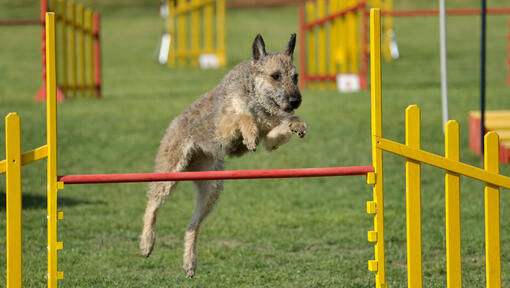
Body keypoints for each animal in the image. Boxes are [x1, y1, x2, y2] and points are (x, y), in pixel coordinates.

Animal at [139, 33, 306, 276]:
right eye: (275, 76)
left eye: (295, 77)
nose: (296, 101)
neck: (254, 94)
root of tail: (174, 123)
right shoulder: (223, 126)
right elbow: (243, 116)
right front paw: (250, 135)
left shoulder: (270, 135)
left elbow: (277, 129)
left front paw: (297, 124)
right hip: (169, 172)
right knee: (152, 205)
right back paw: (147, 243)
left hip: (212, 188)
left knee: (192, 226)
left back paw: (190, 262)